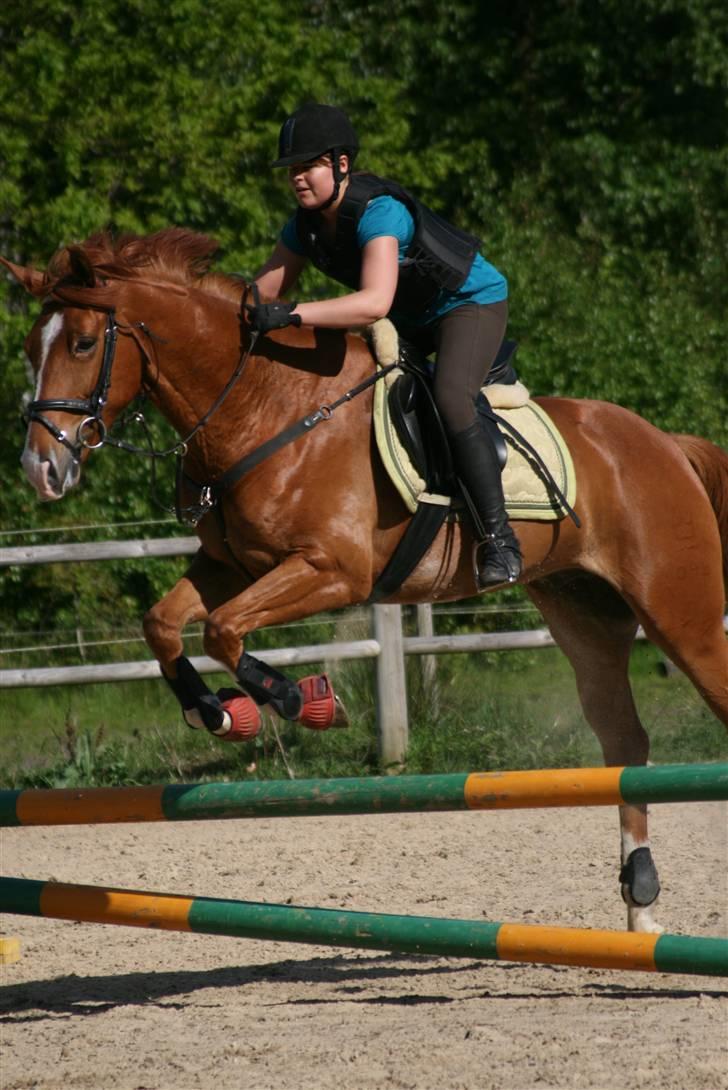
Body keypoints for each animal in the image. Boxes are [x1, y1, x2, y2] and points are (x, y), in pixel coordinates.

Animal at [2, 225, 723, 933]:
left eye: (83, 342)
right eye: (33, 350)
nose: (41, 470)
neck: (264, 407)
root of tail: (664, 441)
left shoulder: (331, 571)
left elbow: (224, 630)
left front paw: (304, 701)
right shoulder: (229, 567)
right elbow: (166, 625)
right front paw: (219, 711)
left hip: (678, 611)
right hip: (584, 614)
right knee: (623, 739)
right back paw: (640, 904)